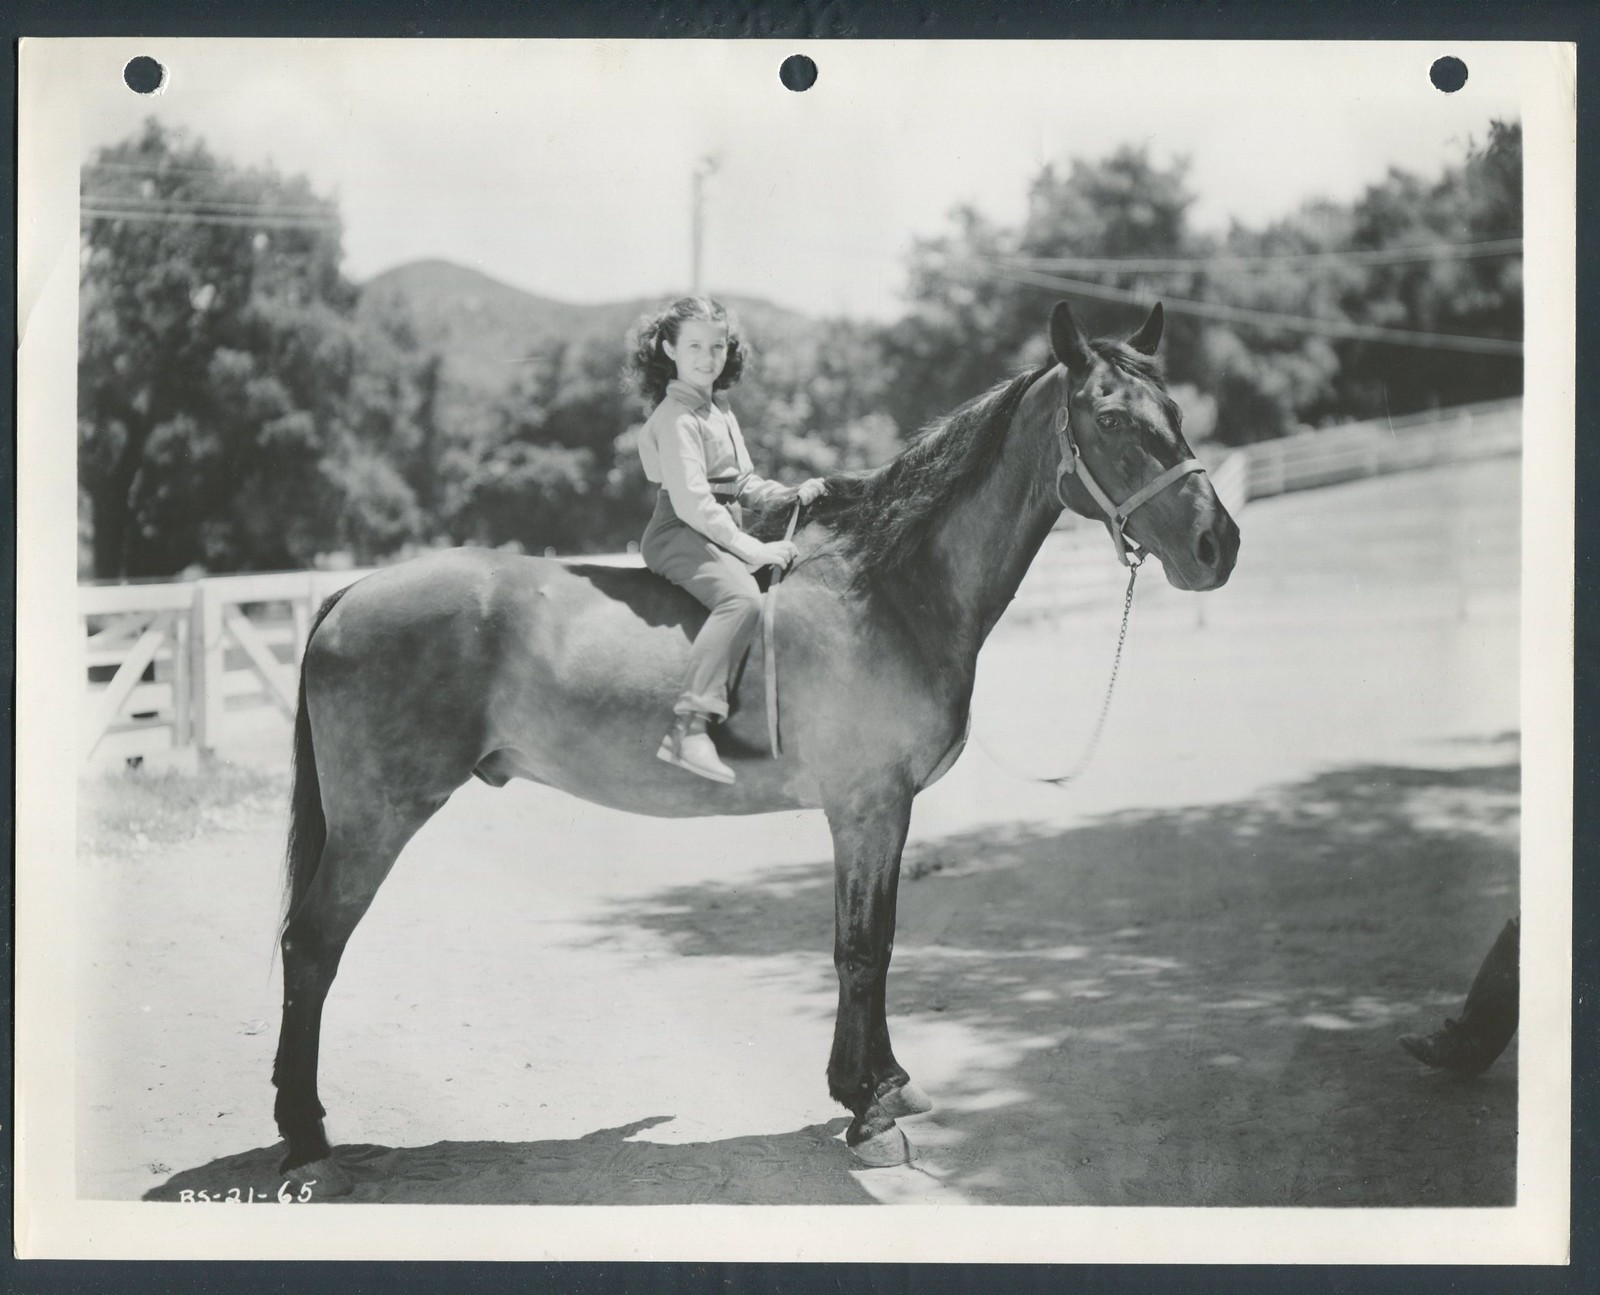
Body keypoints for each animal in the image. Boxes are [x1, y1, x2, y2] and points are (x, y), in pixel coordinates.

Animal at [271, 300, 1240, 1194]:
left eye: (1174, 411)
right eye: (1111, 419)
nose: (1216, 545)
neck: (888, 592)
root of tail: (350, 592)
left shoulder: (882, 814)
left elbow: (876, 941)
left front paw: (880, 1083)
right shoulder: (866, 809)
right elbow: (862, 949)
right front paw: (869, 1109)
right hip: (376, 821)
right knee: (312, 945)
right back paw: (307, 1133)